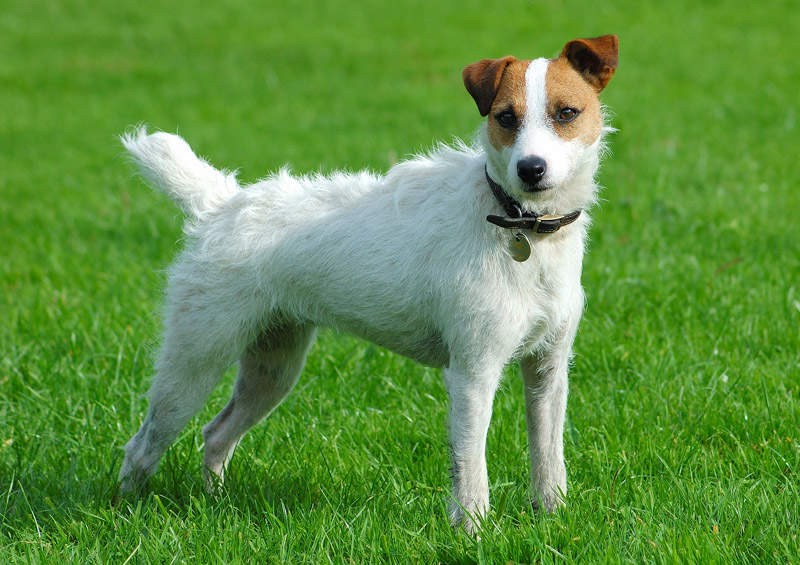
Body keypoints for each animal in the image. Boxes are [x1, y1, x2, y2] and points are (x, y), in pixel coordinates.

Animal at [119, 36, 620, 532]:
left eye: (567, 113)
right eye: (506, 117)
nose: (531, 169)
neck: (522, 225)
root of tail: (220, 204)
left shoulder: (548, 371)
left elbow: (548, 458)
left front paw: (554, 519)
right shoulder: (473, 373)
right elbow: (470, 467)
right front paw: (472, 532)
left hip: (273, 367)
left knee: (216, 434)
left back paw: (215, 502)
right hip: (194, 361)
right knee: (142, 446)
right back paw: (126, 508)